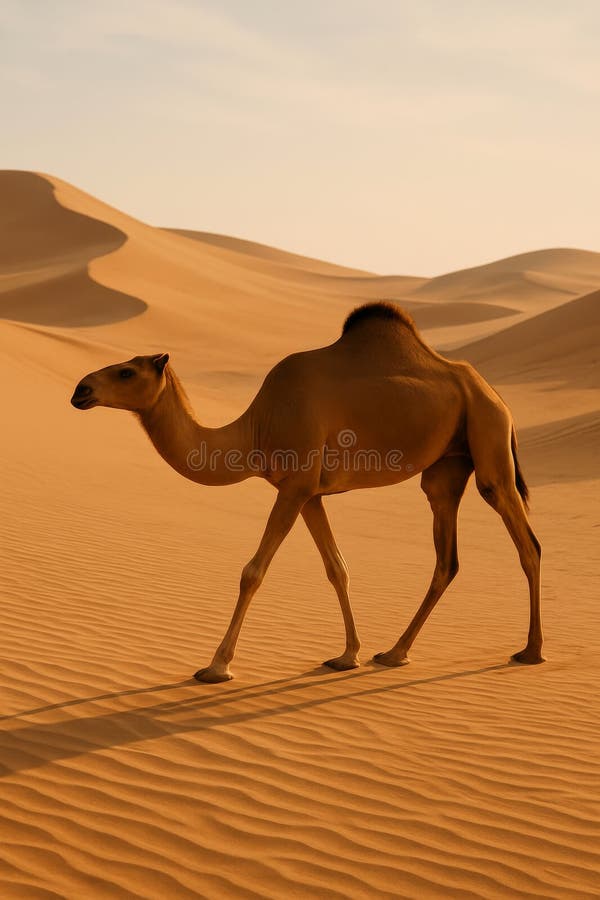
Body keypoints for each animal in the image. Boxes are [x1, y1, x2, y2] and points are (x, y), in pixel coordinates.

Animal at [71, 302, 544, 682]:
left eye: (127, 370)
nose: (81, 389)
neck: (256, 430)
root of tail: (494, 393)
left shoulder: (295, 486)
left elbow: (253, 572)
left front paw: (217, 666)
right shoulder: (310, 493)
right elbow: (337, 568)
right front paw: (347, 656)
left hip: (488, 437)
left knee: (526, 542)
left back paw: (531, 651)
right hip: (447, 466)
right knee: (446, 557)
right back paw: (394, 653)